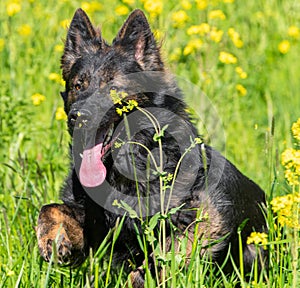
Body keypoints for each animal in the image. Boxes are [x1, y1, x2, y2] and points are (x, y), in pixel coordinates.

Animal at [36, 8, 268, 286]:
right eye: (78, 86)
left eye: (113, 88)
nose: (77, 116)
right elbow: (50, 208)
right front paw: (53, 239)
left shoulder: (200, 219)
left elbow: (164, 259)